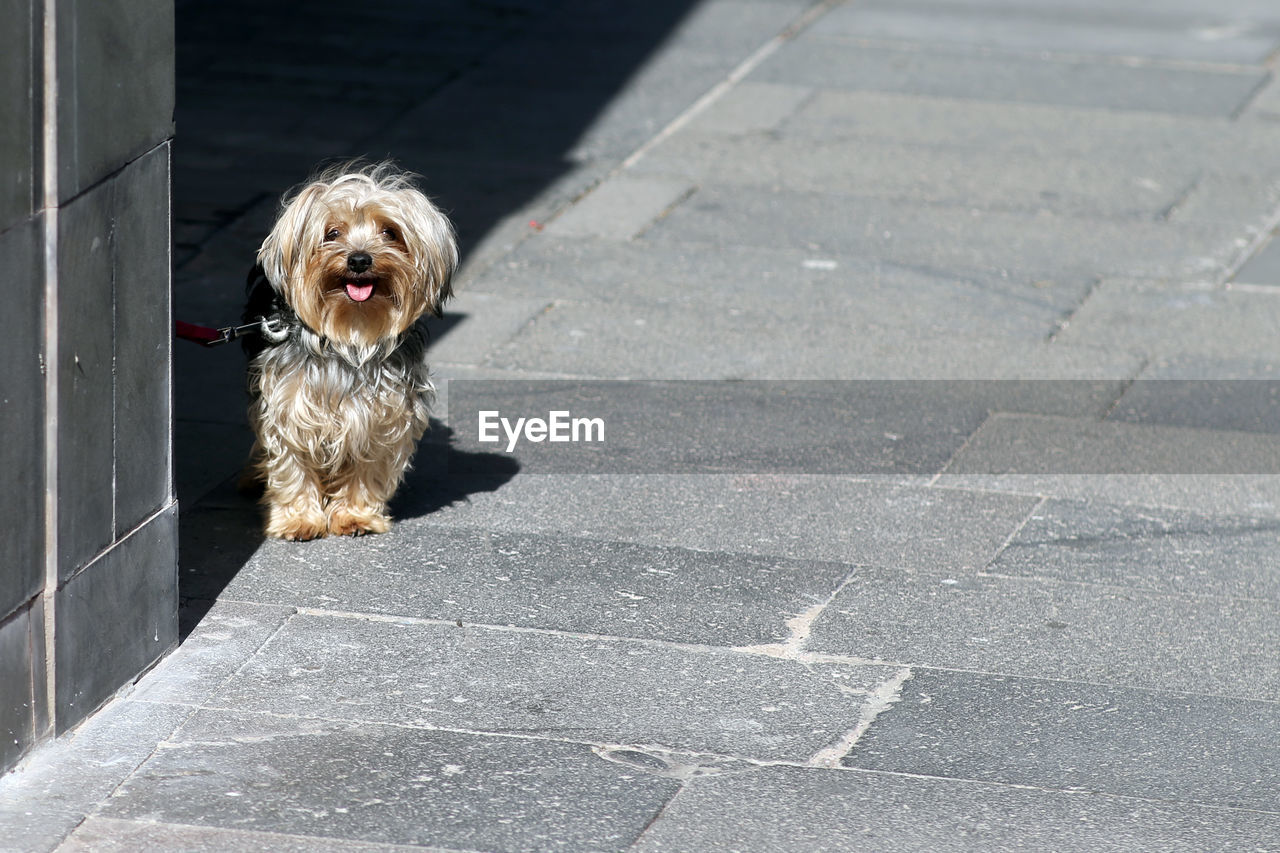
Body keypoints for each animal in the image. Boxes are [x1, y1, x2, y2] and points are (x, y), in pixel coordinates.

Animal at [241, 161, 458, 537]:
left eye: (389, 232)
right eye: (331, 233)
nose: (359, 259)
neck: (352, 338)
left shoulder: (381, 416)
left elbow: (367, 467)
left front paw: (356, 515)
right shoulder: (289, 406)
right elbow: (292, 465)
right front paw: (298, 518)